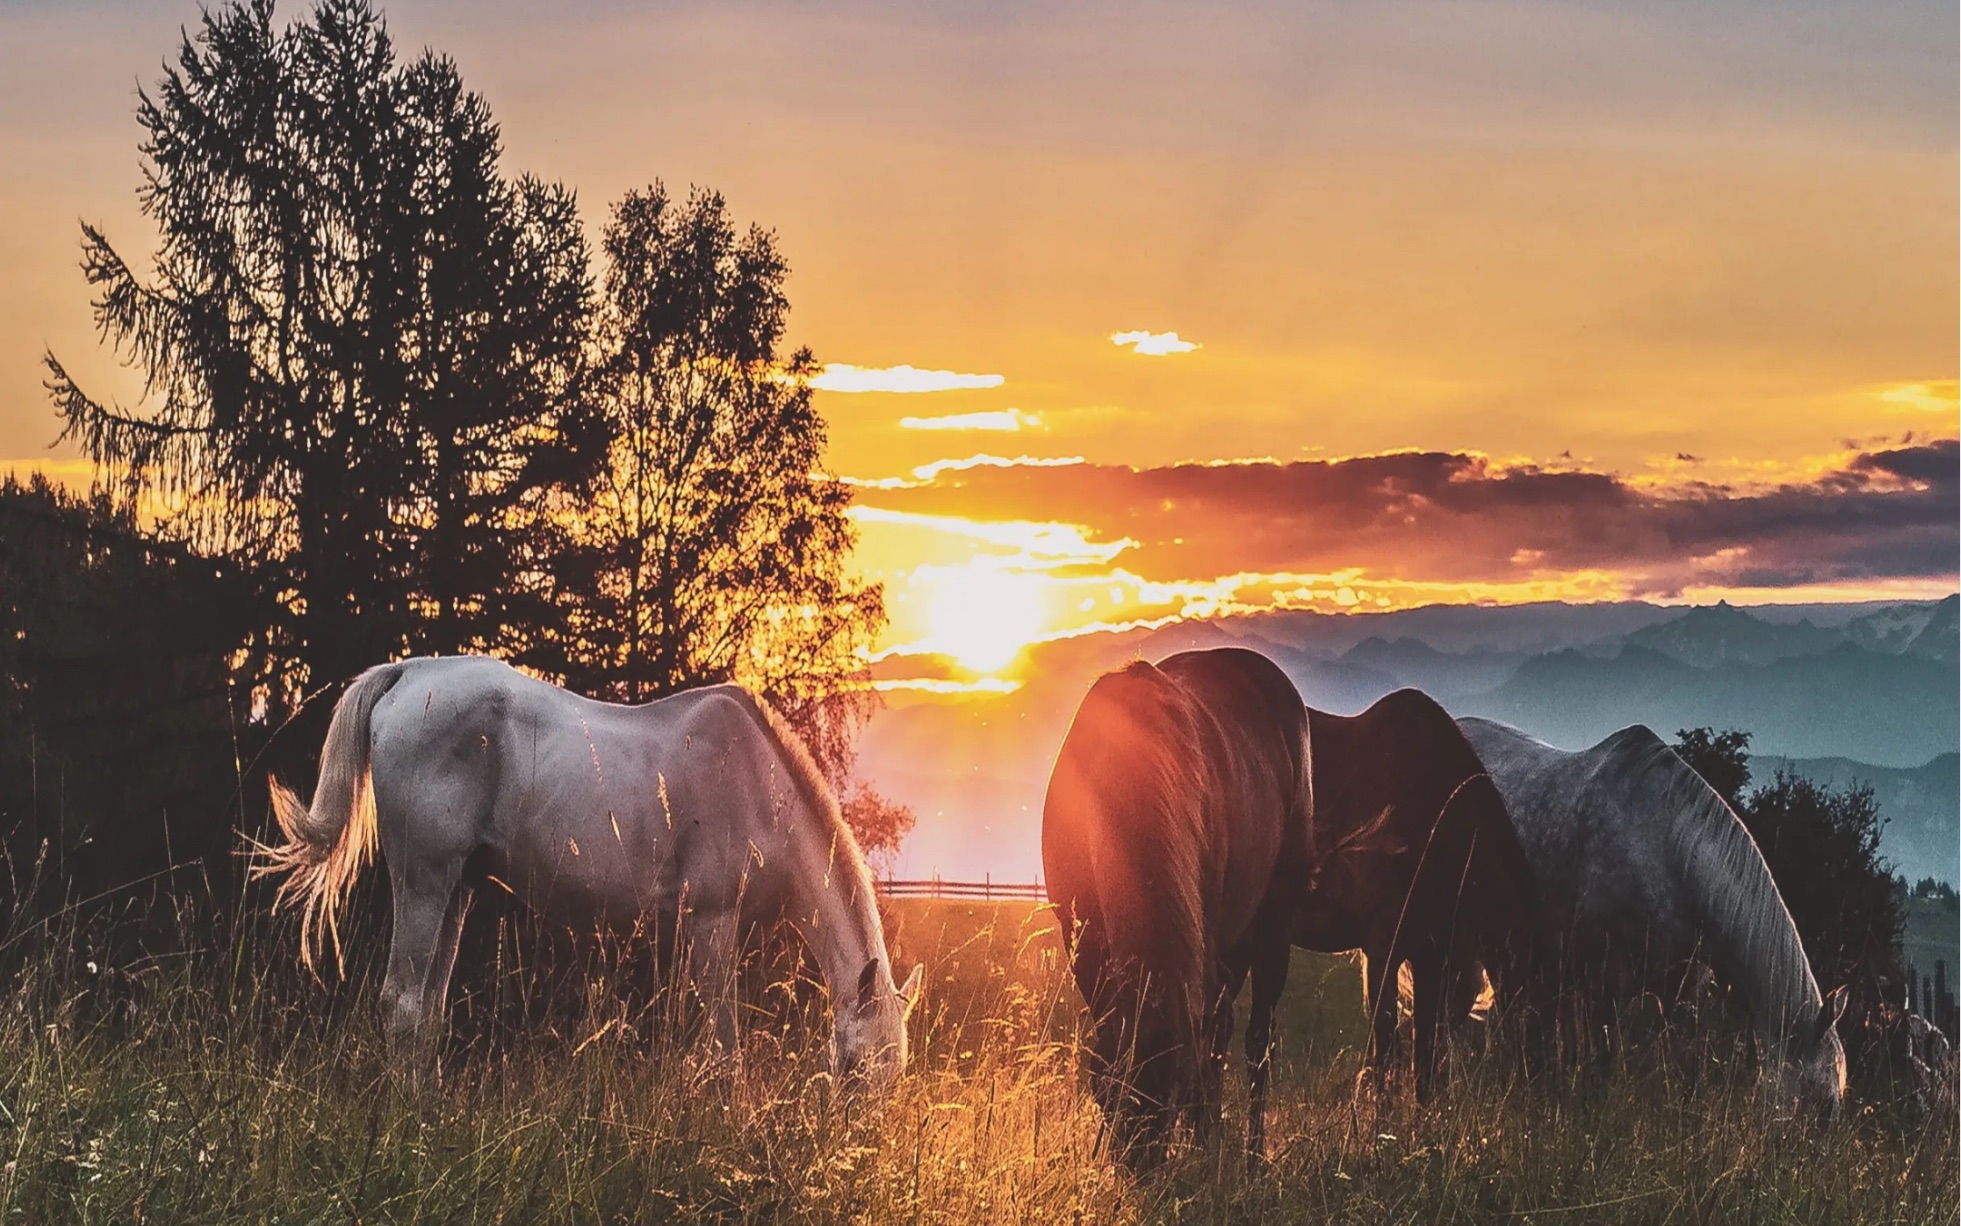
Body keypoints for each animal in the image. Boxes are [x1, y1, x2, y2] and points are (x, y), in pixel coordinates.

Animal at [251, 659, 917, 1090]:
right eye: (857, 1071)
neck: (758, 784)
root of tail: (408, 676)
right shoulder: (711, 923)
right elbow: (722, 1047)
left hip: (456, 892)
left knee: (428, 1012)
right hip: (423, 883)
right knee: (405, 1004)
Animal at [1035, 647, 1309, 1161]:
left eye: (1170, 1100)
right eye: (1108, 1095)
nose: (1138, 1169)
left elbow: (1211, 1050)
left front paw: (1204, 1143)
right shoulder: (1084, 945)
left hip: (1272, 931)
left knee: (1255, 1042)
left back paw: (1249, 1154)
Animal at [1458, 717, 1851, 1122]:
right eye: (1818, 1100)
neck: (1665, 852)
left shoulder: (1682, 990)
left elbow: (1687, 1068)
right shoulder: (1606, 982)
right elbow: (1604, 1061)